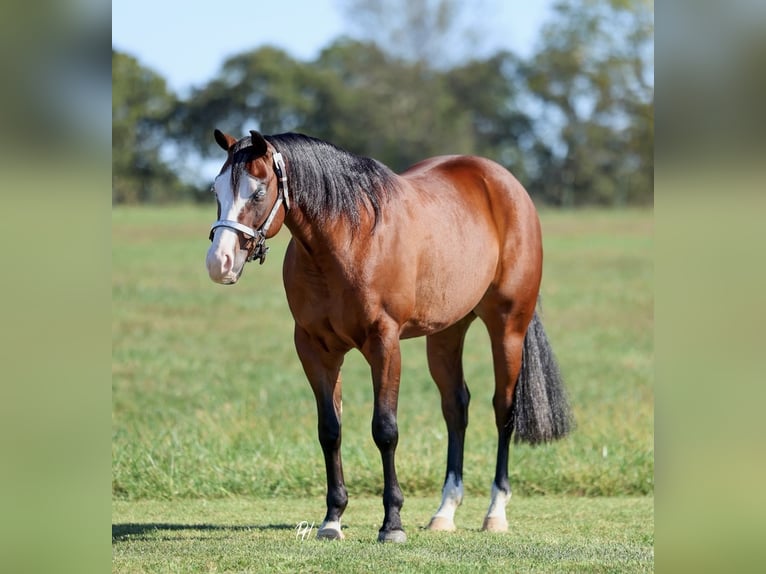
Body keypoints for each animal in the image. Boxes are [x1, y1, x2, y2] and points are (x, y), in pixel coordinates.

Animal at [205, 129, 572, 542]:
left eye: (257, 192)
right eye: (217, 190)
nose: (219, 262)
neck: (346, 241)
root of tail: (504, 184)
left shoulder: (384, 343)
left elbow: (385, 429)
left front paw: (392, 522)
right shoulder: (315, 348)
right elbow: (330, 430)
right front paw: (332, 519)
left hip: (508, 327)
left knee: (503, 411)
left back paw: (495, 512)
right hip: (446, 333)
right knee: (455, 408)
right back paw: (444, 511)